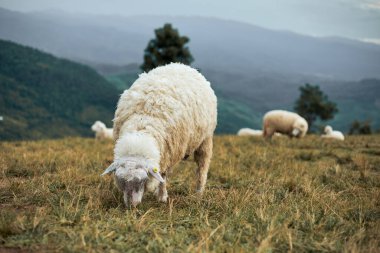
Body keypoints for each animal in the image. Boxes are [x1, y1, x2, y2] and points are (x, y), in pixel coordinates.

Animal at [101, 62, 218, 207]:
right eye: (121, 181)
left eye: (142, 180)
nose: (131, 206)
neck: (141, 130)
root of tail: (179, 64)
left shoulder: (169, 153)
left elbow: (163, 175)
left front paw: (162, 197)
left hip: (205, 139)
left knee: (202, 168)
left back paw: (199, 193)